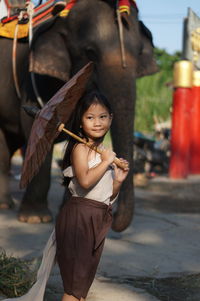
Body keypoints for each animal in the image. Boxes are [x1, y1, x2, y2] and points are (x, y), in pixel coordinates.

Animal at [0, 0, 158, 230]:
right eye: (89, 52)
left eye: (139, 53)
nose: (113, 218)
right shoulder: (34, 79)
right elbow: (33, 129)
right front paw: (35, 218)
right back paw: (6, 206)